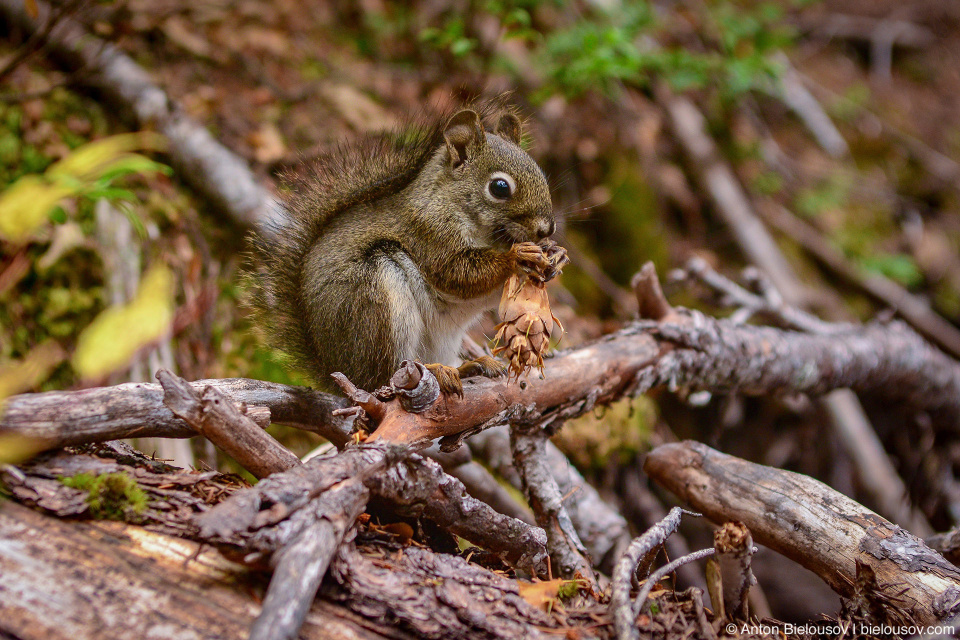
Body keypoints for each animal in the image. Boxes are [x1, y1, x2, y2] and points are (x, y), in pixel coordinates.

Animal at [248, 99, 560, 396]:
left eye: (541, 173)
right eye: (499, 187)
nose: (547, 229)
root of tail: (336, 369)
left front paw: (556, 256)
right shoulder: (430, 234)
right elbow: (459, 273)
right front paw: (517, 256)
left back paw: (469, 365)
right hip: (377, 302)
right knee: (382, 376)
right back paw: (437, 371)